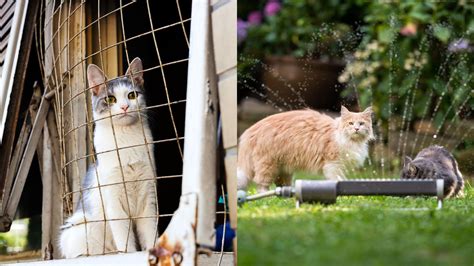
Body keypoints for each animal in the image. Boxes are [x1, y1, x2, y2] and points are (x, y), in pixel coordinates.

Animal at [58, 56, 159, 258]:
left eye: (132, 95)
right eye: (110, 99)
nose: (124, 107)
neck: (127, 141)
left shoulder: (148, 196)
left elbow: (150, 232)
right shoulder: (114, 200)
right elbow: (124, 239)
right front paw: (127, 255)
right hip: (80, 228)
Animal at [237, 105, 374, 191]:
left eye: (361, 123)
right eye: (350, 123)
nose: (356, 129)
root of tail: (250, 130)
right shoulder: (333, 164)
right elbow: (338, 180)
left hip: (283, 169)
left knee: (280, 184)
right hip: (268, 165)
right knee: (261, 185)